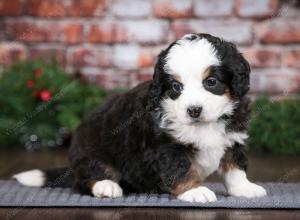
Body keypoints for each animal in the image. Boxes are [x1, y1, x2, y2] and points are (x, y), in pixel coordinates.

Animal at [14, 33, 268, 203]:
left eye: (211, 82)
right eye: (176, 87)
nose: (193, 110)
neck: (202, 125)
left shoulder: (233, 138)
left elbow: (235, 167)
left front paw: (244, 188)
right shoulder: (167, 147)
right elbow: (182, 168)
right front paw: (194, 190)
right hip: (91, 153)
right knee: (85, 179)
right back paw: (106, 185)